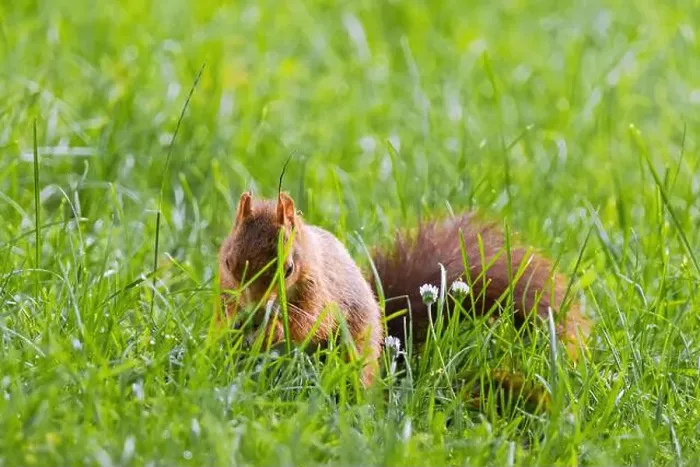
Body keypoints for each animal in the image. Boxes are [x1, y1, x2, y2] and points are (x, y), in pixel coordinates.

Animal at [218, 191, 591, 401]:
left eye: (289, 268)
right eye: (228, 262)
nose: (255, 312)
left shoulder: (320, 291)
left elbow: (311, 324)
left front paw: (273, 330)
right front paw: (235, 329)